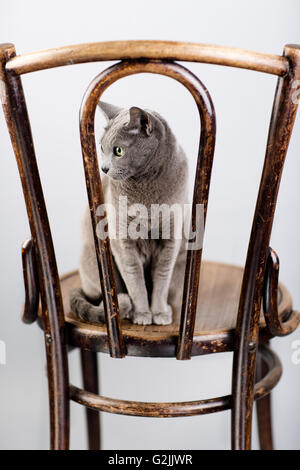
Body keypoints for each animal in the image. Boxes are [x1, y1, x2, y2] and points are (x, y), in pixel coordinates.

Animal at [69, 101, 188, 324]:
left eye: (118, 151)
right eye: (101, 148)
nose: (104, 168)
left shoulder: (170, 241)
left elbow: (161, 279)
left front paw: (159, 313)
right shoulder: (123, 242)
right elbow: (135, 281)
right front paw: (141, 314)